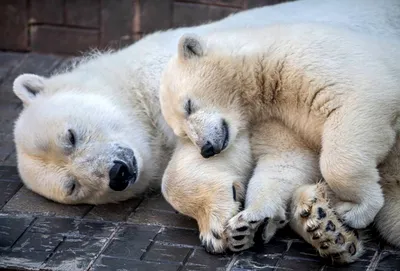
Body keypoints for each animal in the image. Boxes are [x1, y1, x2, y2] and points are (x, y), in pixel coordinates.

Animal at [159, 24, 400, 260]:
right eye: (183, 133)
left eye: (189, 106)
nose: (206, 149)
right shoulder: (276, 118)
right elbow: (286, 159)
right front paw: (247, 224)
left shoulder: (322, 61)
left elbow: (358, 103)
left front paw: (357, 210)